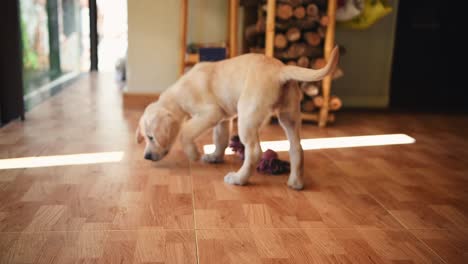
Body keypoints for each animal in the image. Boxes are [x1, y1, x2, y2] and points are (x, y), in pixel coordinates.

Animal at [137, 46, 338, 189]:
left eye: (151, 137)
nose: (146, 157)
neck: (178, 95)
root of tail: (280, 70)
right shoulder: (223, 119)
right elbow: (220, 139)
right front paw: (215, 157)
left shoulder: (211, 113)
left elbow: (186, 131)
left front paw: (193, 153)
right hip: (290, 116)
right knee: (297, 148)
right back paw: (296, 183)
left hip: (247, 115)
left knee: (254, 151)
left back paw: (238, 179)